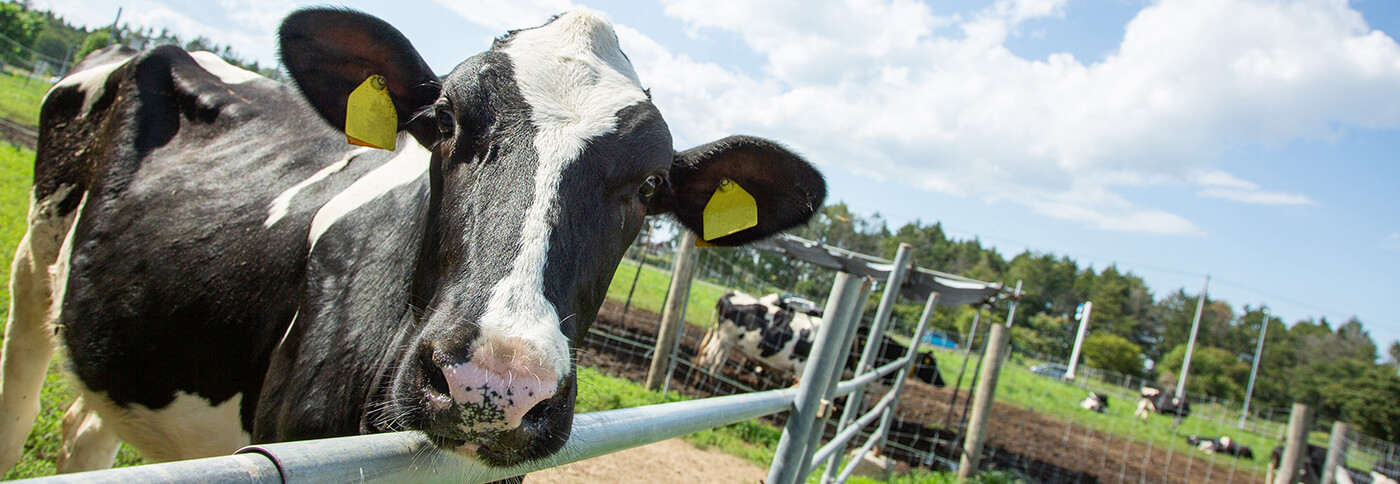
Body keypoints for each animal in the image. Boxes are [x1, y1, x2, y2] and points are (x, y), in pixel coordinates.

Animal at [694, 289, 946, 388]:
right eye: (931, 364)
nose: (942, 383)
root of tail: (732, 294)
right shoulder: (802, 368)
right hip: (725, 340)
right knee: (712, 358)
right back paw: (708, 383)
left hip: (723, 339)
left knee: (708, 356)